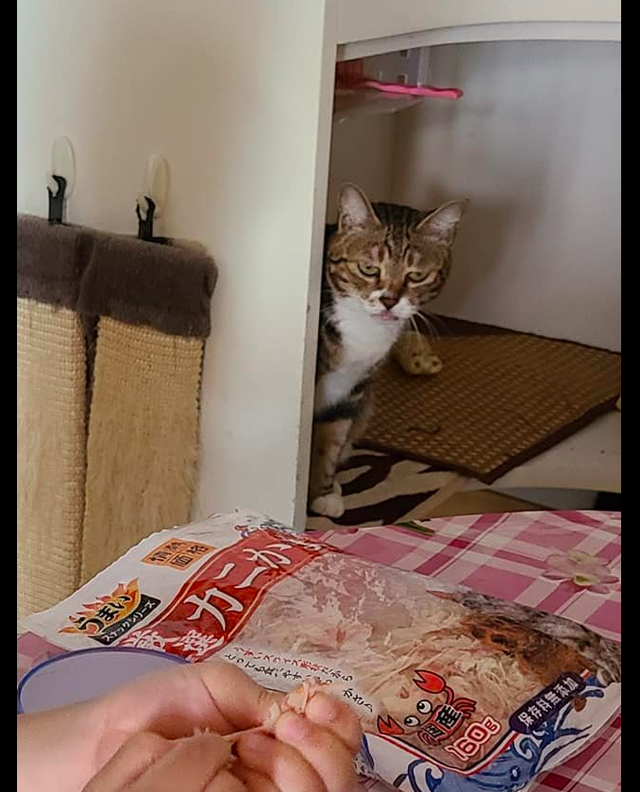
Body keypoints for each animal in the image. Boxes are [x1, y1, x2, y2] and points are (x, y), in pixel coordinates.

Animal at [309, 183, 467, 518]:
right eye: (369, 268)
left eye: (416, 275)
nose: (389, 301)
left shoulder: (352, 389)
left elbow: (330, 439)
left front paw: (323, 491)